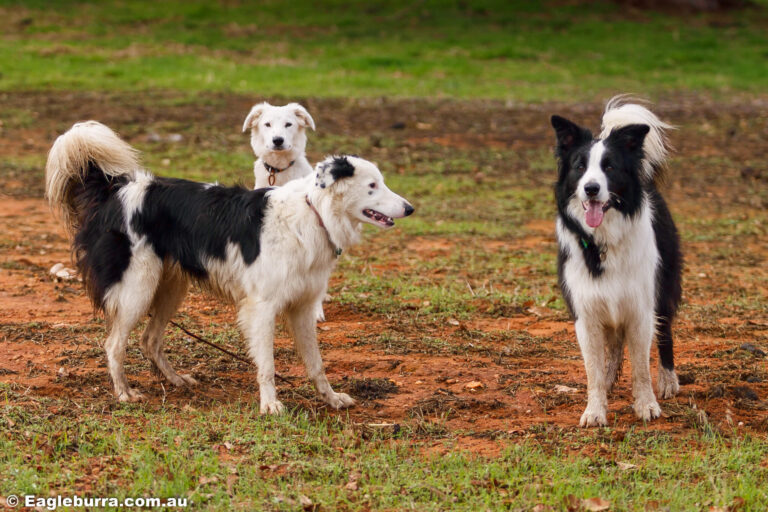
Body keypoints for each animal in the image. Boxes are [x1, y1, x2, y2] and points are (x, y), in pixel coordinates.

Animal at [548, 97, 680, 428]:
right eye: (580, 167)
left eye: (609, 167)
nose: (591, 188)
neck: (603, 241)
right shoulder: (586, 313)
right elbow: (593, 370)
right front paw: (595, 409)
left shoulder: (641, 309)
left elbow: (641, 368)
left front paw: (646, 405)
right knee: (614, 348)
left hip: (664, 289)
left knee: (665, 333)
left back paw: (668, 380)